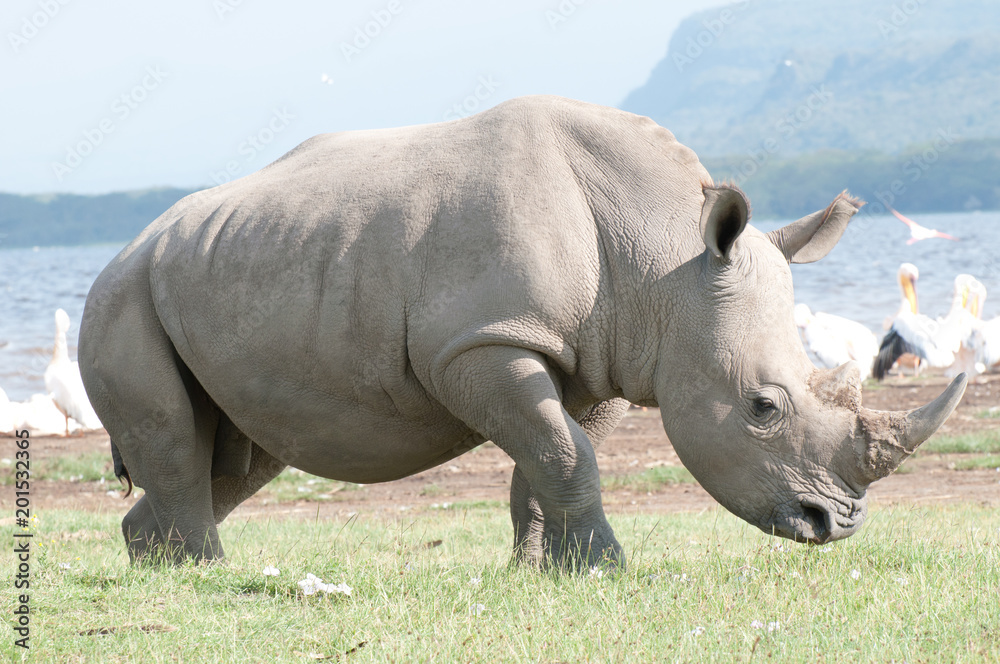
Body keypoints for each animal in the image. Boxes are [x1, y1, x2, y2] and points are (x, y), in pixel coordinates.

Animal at [79, 96, 966, 569]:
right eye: (762, 407)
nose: (835, 525)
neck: (664, 262)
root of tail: (131, 244)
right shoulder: (482, 341)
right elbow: (563, 454)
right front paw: (607, 569)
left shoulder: (605, 353)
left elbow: (553, 457)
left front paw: (546, 571)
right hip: (120, 296)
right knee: (180, 442)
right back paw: (206, 574)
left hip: (227, 271)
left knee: (240, 454)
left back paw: (158, 569)